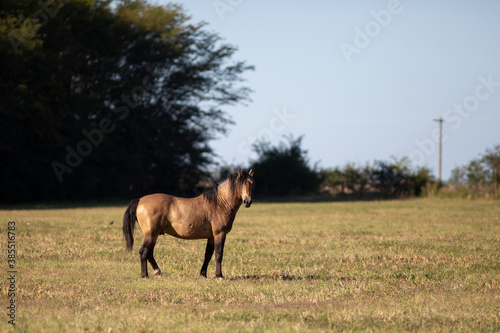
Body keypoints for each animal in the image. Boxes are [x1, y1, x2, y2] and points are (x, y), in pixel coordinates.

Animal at [121, 167, 254, 278]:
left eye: (252, 183)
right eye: (240, 184)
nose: (247, 201)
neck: (219, 203)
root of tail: (139, 200)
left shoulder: (211, 236)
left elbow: (208, 255)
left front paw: (203, 275)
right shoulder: (219, 234)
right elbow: (218, 254)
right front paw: (219, 276)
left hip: (154, 235)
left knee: (149, 253)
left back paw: (157, 272)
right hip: (151, 234)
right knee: (144, 252)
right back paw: (145, 275)